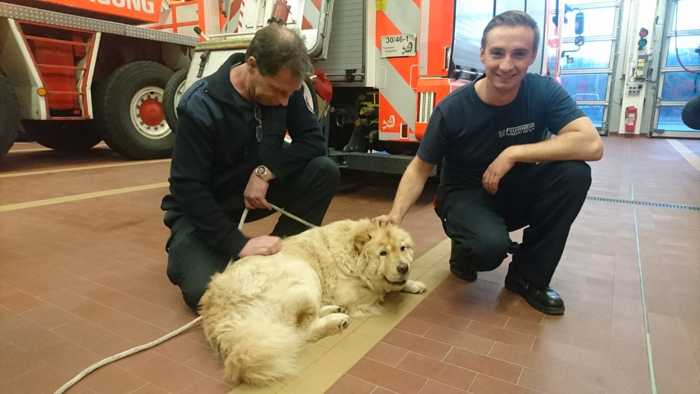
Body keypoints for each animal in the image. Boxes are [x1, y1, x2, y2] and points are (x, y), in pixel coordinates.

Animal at [200, 220, 424, 386]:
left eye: (403, 248)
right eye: (382, 253)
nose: (403, 267)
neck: (351, 253)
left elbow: (395, 285)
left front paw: (414, 284)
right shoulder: (352, 293)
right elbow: (379, 292)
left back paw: (333, 310)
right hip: (303, 274)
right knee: (302, 331)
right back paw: (337, 320)